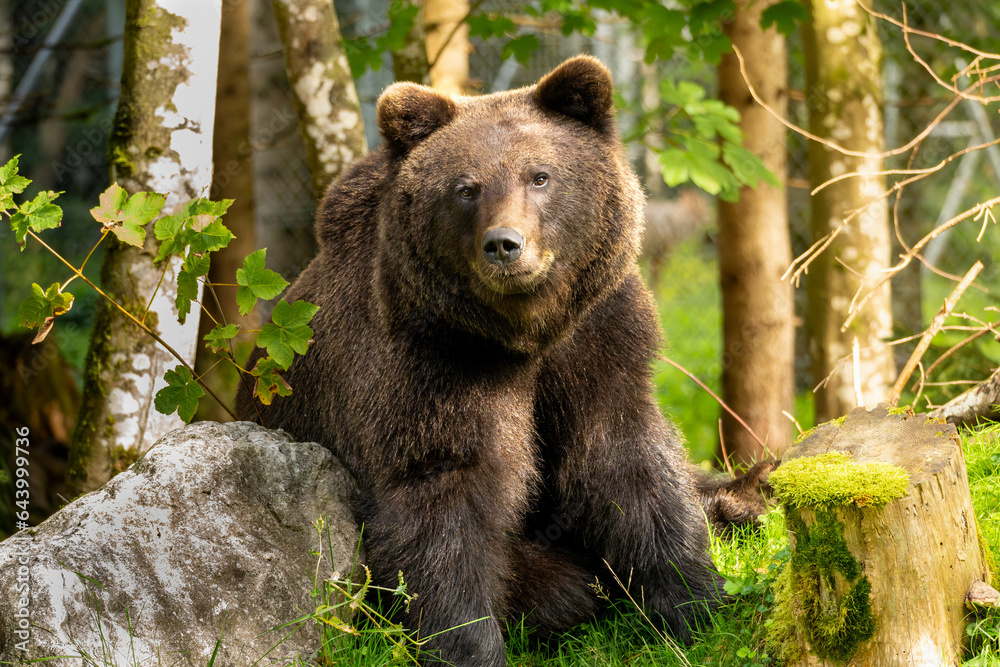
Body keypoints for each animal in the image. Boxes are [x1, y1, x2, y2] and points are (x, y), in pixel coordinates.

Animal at [238, 54, 768, 664]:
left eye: (540, 176)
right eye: (466, 188)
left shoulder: (597, 334)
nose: (505, 244)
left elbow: (629, 462)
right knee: (554, 584)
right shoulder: (426, 365)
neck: (524, 332)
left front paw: (693, 604)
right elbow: (445, 503)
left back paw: (746, 497)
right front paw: (470, 645)